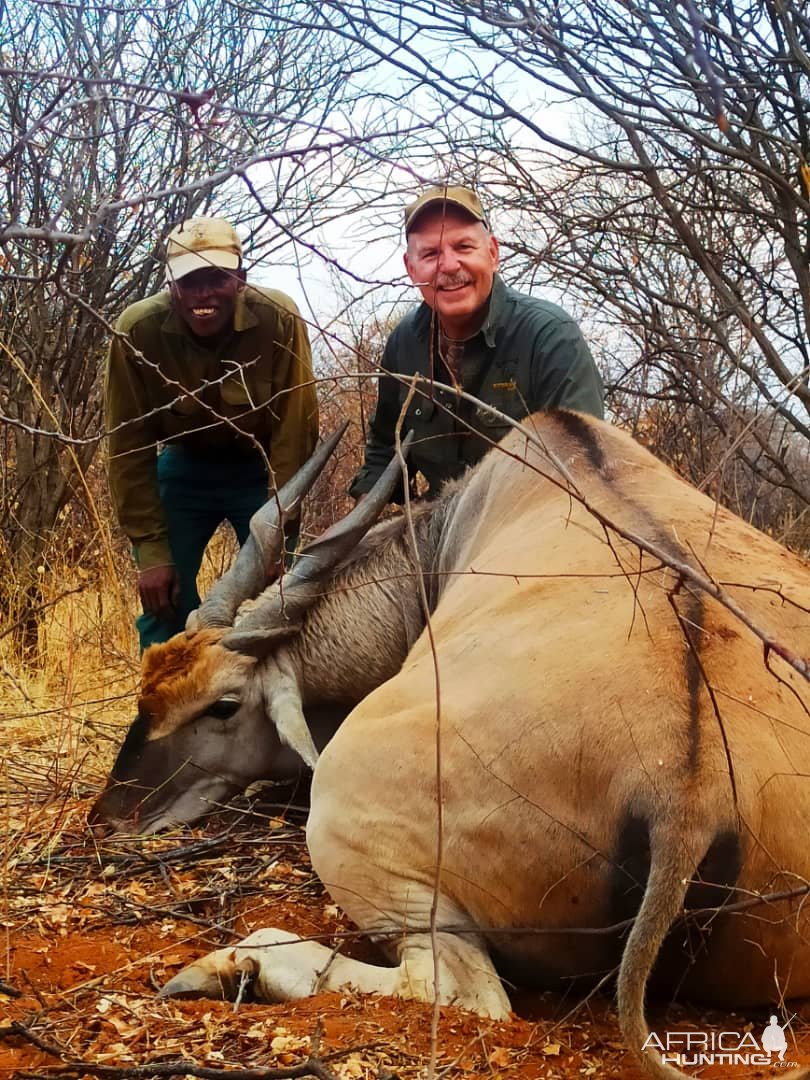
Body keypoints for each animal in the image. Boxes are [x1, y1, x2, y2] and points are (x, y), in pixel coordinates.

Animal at [91, 410, 810, 1080]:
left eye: (224, 706)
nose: (108, 819)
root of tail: (686, 794)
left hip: (350, 829)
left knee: (454, 989)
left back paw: (223, 967)